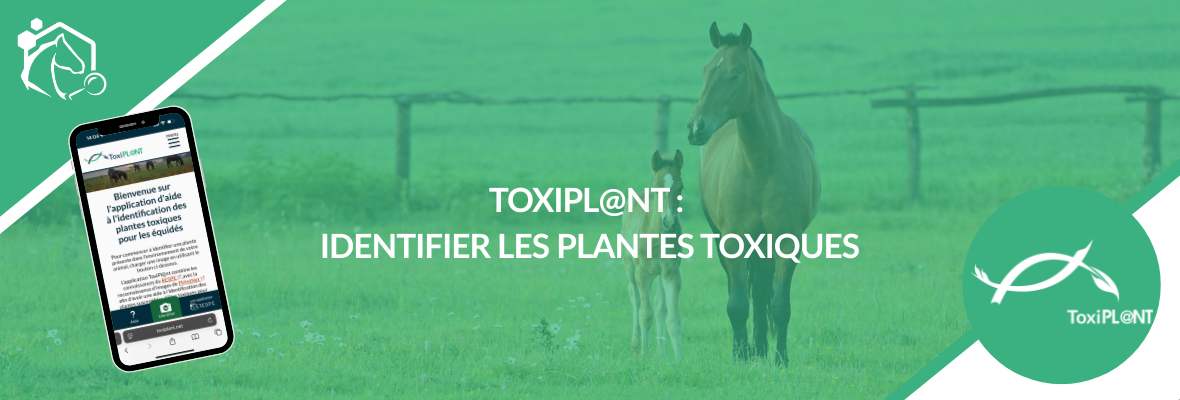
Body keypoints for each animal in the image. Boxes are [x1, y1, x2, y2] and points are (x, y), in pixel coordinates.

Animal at [621, 150, 686, 359]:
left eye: (681, 188)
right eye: (657, 187)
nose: (669, 222)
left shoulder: (671, 272)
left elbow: (672, 317)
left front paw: (678, 360)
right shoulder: (643, 272)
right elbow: (645, 313)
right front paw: (645, 356)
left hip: (659, 273)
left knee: (660, 307)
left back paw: (661, 353)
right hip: (629, 267)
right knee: (635, 297)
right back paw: (636, 345)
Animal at [686, 23, 821, 366]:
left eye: (735, 75)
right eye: (705, 72)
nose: (695, 127)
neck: (761, 164)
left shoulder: (787, 240)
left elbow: (780, 305)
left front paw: (781, 359)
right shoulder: (733, 240)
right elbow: (736, 304)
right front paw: (740, 355)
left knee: (761, 292)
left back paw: (761, 347)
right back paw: (751, 348)